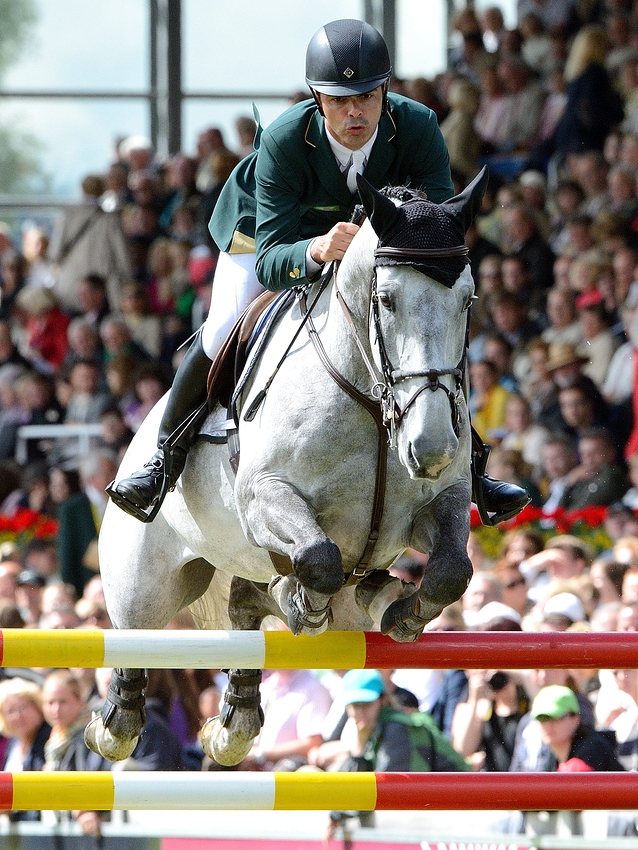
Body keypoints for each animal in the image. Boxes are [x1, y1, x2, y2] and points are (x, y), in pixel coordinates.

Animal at [86, 169, 490, 764]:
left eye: (466, 301)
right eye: (387, 300)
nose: (432, 445)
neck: (373, 402)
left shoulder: (441, 500)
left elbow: (449, 571)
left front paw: (403, 614)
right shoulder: (266, 496)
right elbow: (318, 559)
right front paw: (303, 604)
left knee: (252, 601)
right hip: (146, 583)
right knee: (137, 639)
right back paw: (115, 723)